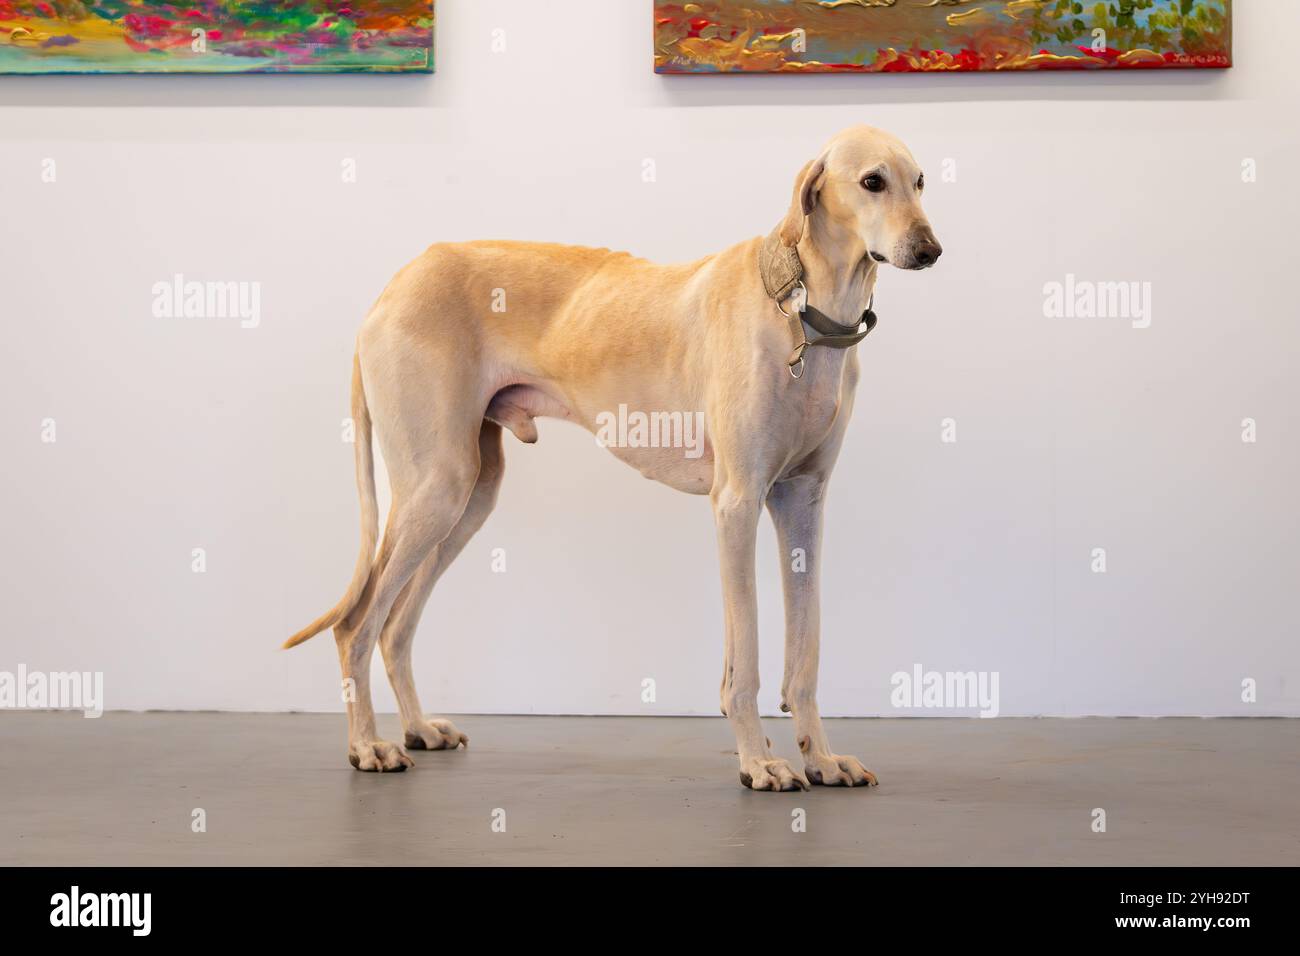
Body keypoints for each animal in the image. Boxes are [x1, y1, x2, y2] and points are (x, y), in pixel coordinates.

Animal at [284, 123, 941, 790]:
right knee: (355, 625)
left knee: (394, 627)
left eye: (919, 182)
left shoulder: (802, 502)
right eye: (871, 181)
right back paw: (368, 746)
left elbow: (805, 653)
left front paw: (821, 758)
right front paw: (758, 761)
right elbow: (746, 660)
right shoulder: (736, 504)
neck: (804, 309)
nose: (930, 249)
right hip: (435, 487)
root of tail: (395, 283)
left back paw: (417, 729)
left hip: (468, 495)